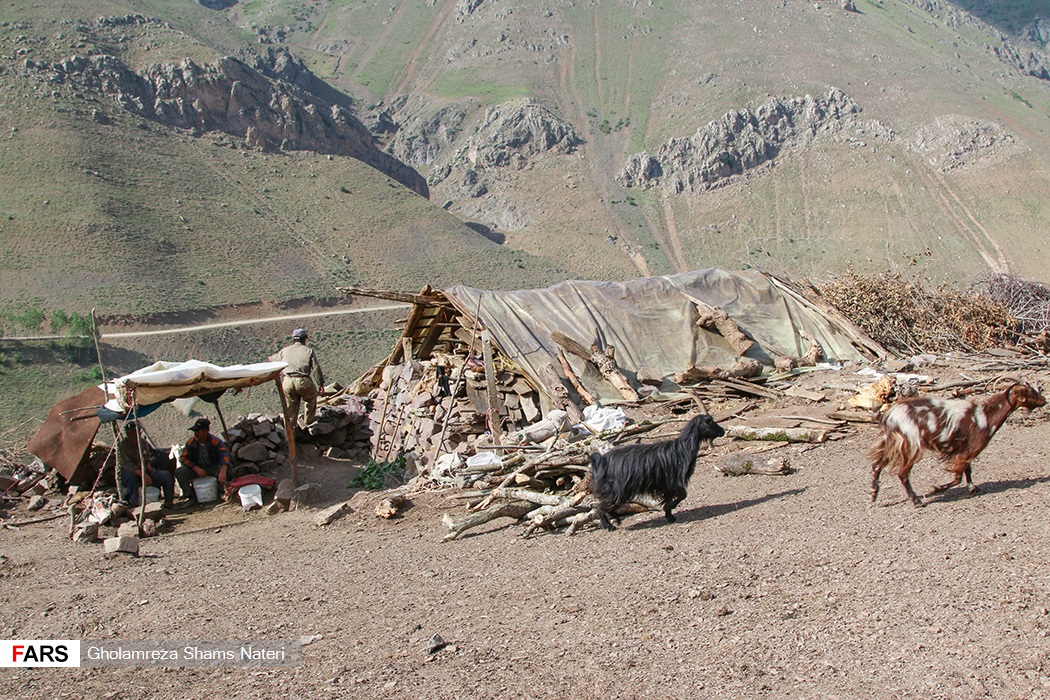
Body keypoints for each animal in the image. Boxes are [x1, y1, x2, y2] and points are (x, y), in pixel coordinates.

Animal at [590, 413, 725, 530]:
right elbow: (682, 495)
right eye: (709, 422)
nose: (722, 431)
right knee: (600, 508)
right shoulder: (672, 482)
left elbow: (672, 499)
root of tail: (601, 460)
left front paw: (669, 515)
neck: (682, 449)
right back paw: (609, 526)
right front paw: (672, 507)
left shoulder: (667, 485)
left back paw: (616, 519)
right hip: (617, 490)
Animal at [869, 381, 1044, 506]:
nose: (1044, 400)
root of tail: (889, 416)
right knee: (902, 473)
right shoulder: (969, 450)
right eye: (1029, 392)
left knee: (877, 466)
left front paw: (973, 488)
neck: (985, 416)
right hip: (910, 445)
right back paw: (916, 501)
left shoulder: (965, 450)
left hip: (892, 444)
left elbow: (968, 471)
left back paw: (873, 495)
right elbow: (958, 477)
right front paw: (936, 489)